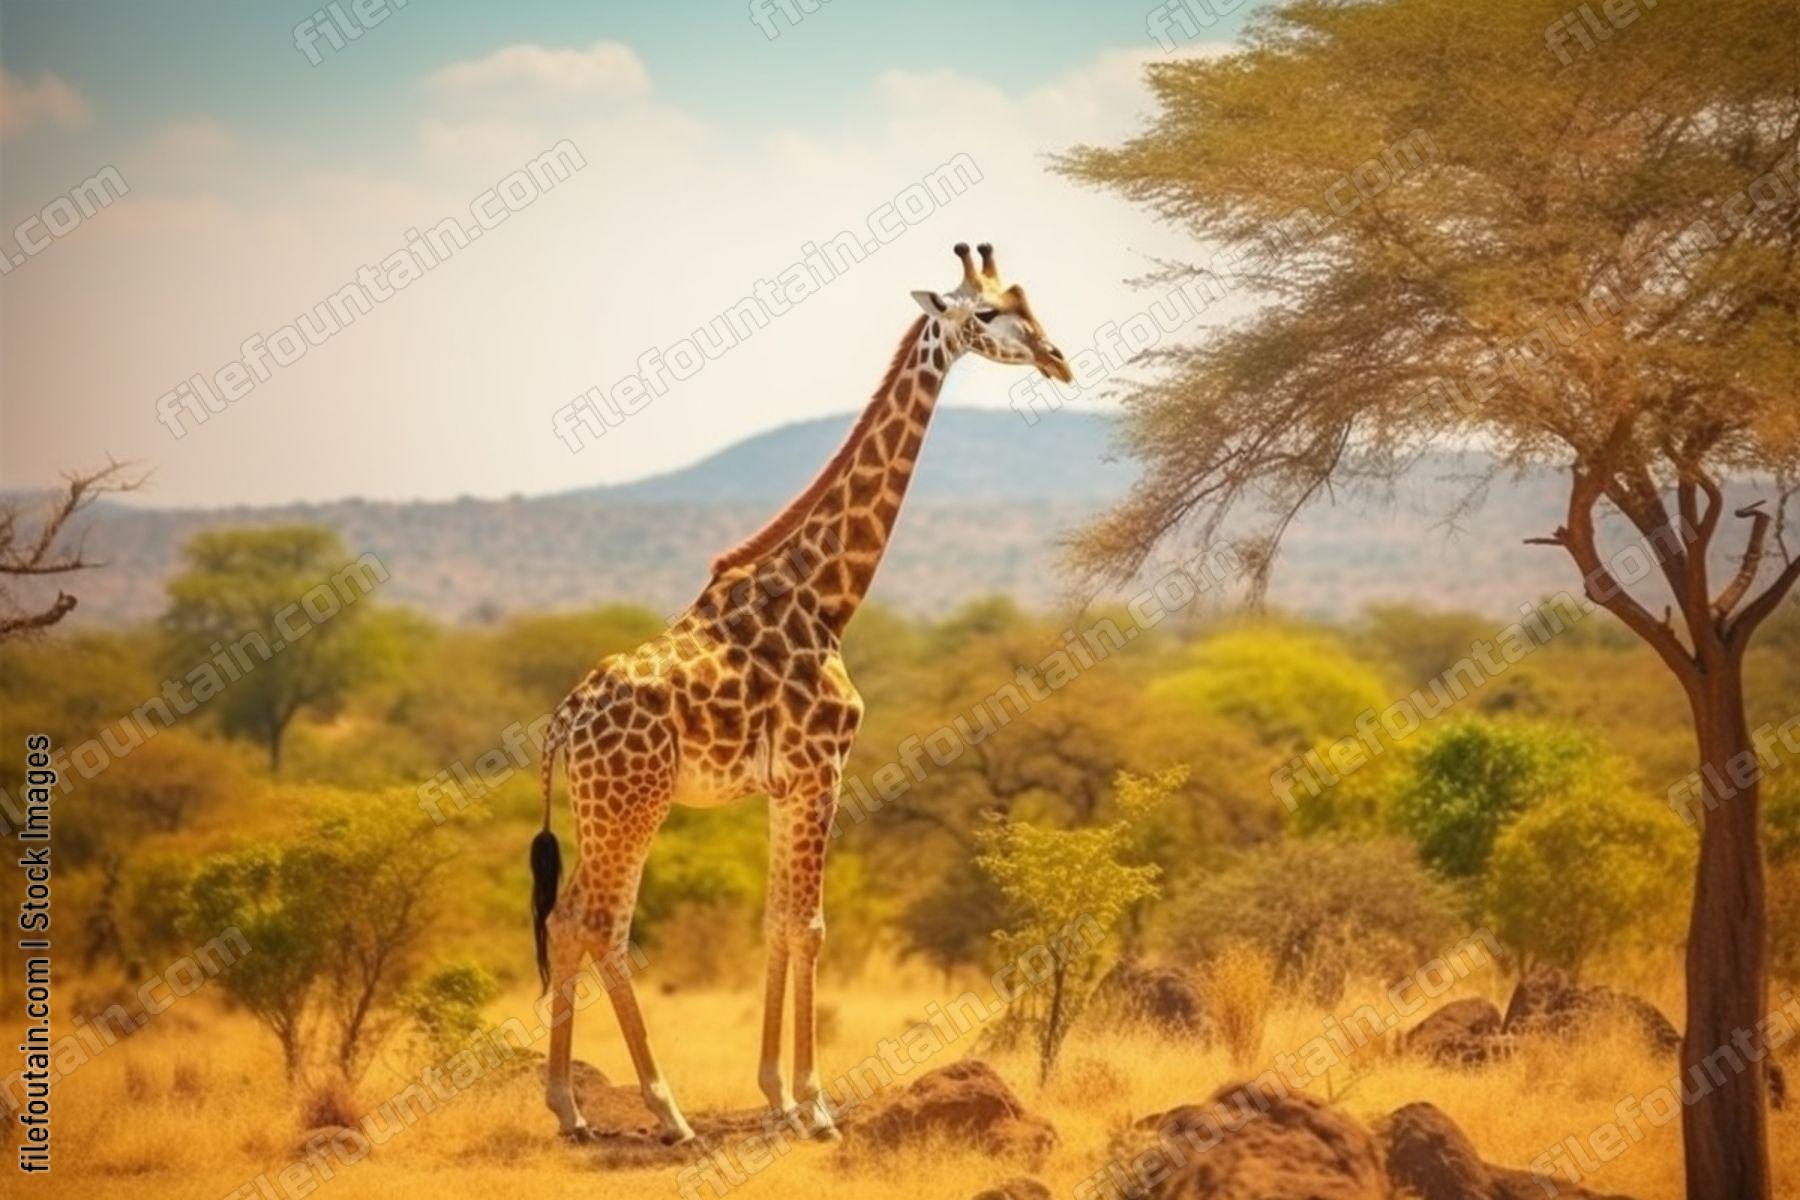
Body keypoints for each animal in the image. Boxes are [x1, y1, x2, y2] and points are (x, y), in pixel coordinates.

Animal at [531, 242, 1072, 1145]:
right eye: (990, 312)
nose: (1059, 359)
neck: (827, 596)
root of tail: (566, 721)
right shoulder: (825, 768)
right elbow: (812, 926)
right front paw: (817, 1106)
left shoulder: (787, 783)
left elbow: (777, 923)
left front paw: (777, 1096)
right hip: (635, 802)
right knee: (599, 925)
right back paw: (664, 1110)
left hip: (597, 805)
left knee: (567, 920)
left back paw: (572, 1108)